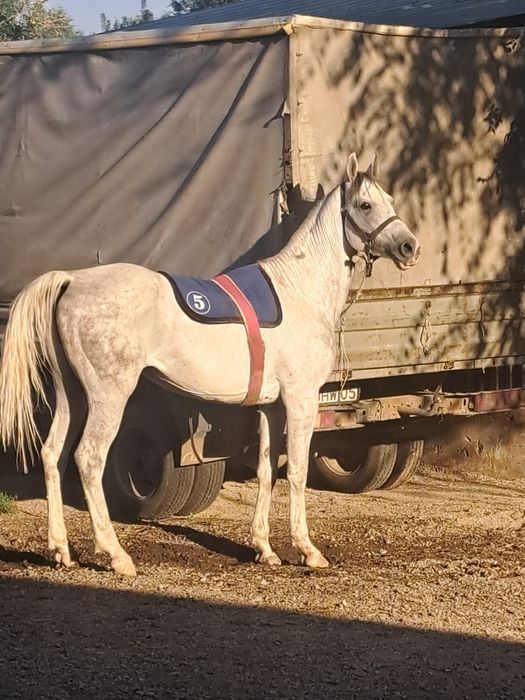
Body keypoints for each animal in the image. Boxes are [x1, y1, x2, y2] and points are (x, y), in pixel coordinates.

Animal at [0, 153, 420, 576]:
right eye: (365, 205)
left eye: (389, 199)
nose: (409, 247)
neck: (299, 291)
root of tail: (72, 280)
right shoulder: (301, 399)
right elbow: (298, 471)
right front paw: (307, 550)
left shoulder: (269, 407)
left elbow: (266, 470)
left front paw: (264, 548)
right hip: (108, 396)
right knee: (88, 458)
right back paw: (116, 554)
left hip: (72, 394)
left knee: (52, 454)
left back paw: (61, 550)